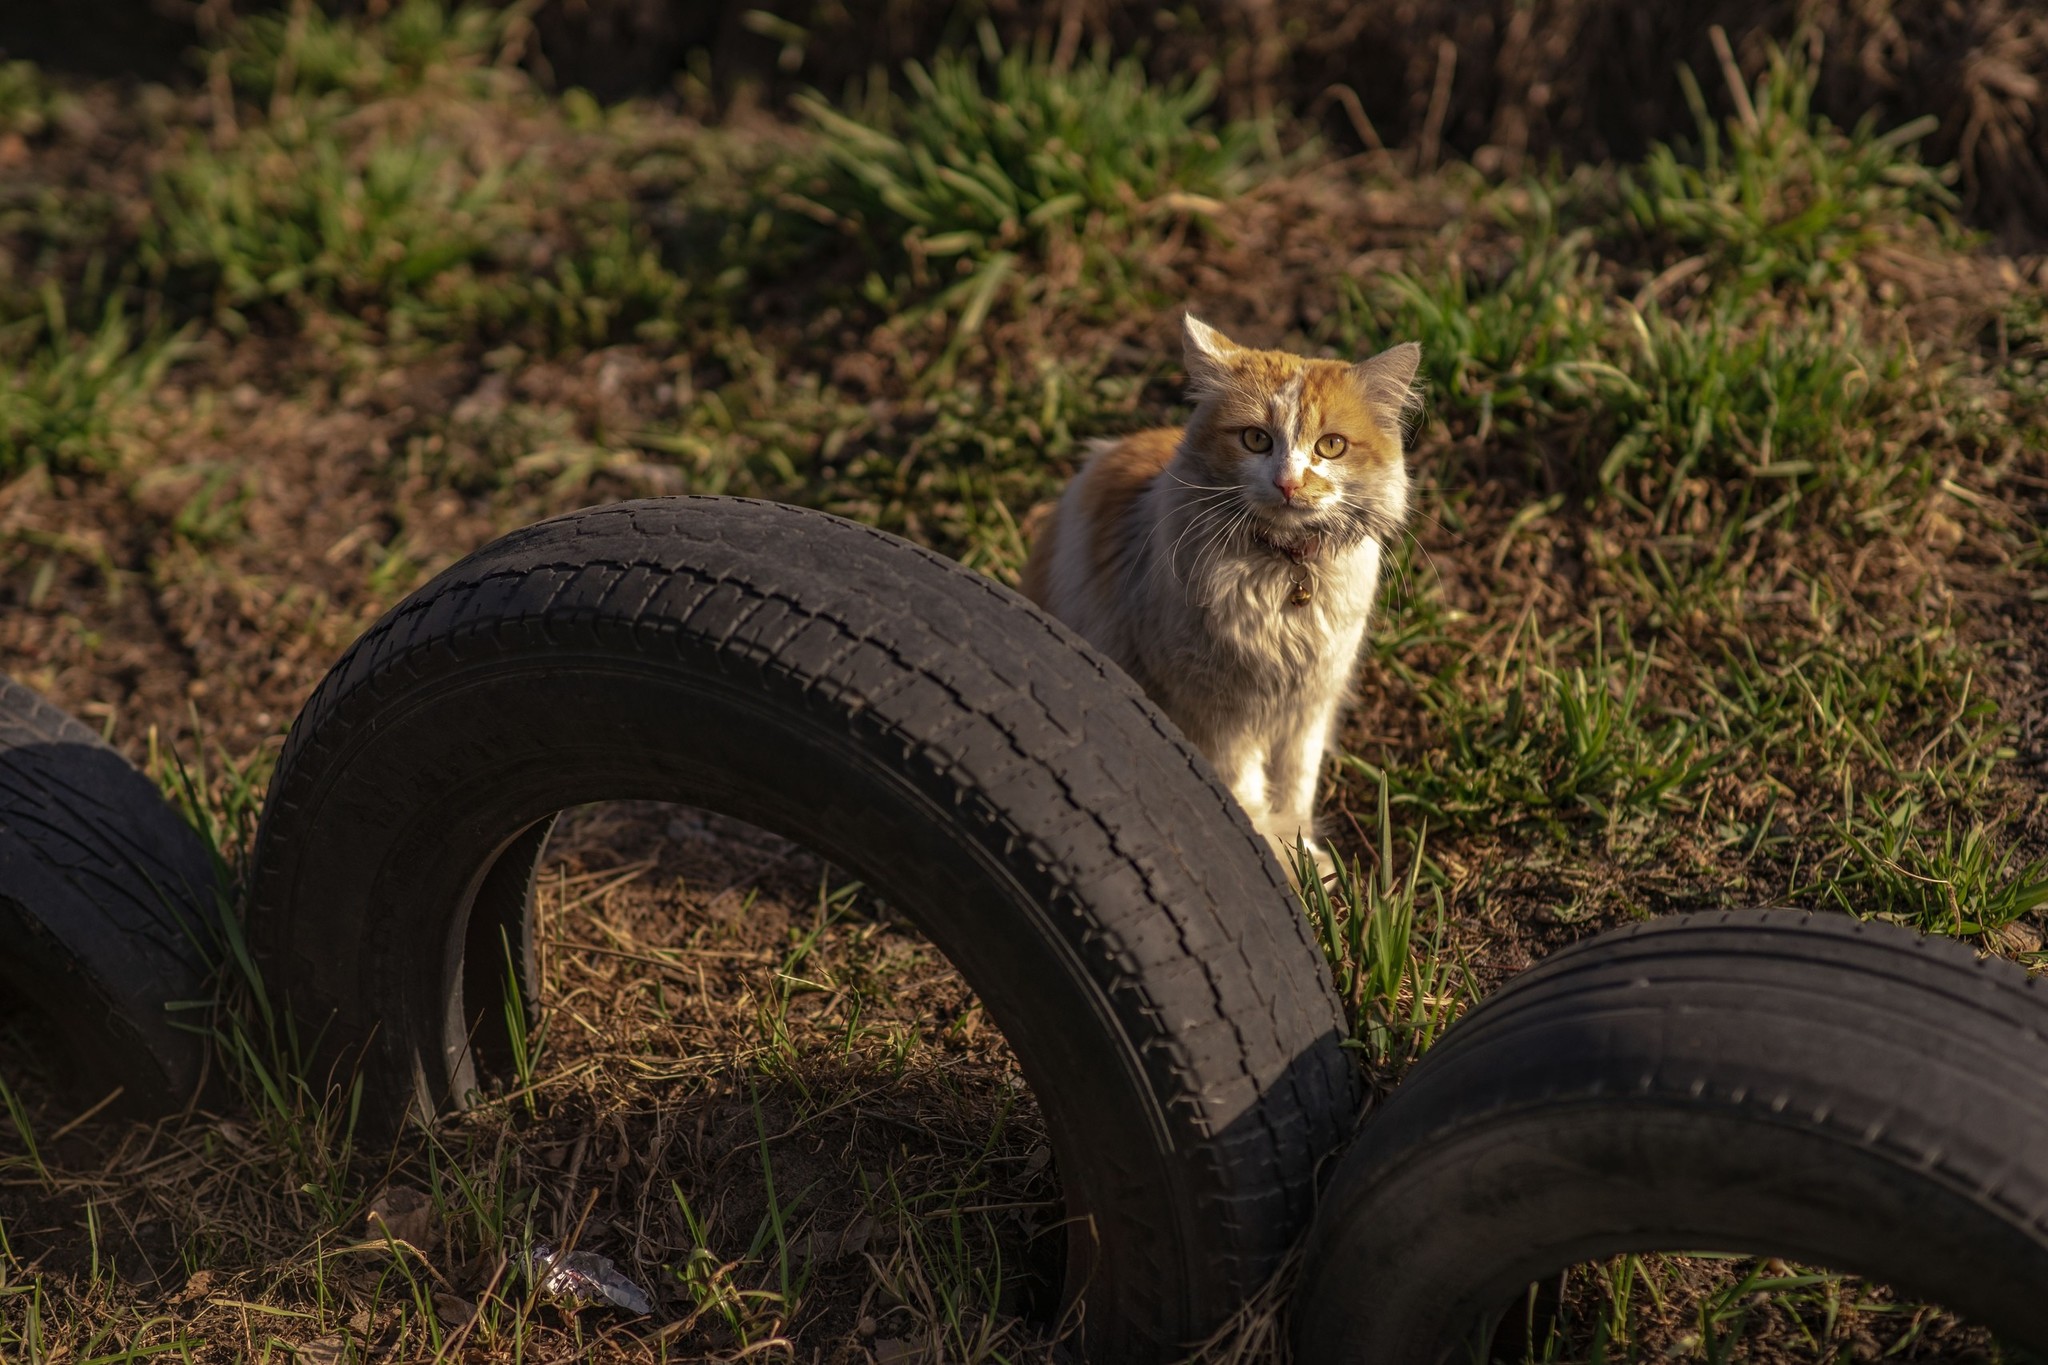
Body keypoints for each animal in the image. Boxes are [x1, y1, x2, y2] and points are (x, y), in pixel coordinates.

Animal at [1024, 317, 1425, 875]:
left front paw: (1304, 857)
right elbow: (1243, 792)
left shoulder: (1307, 709)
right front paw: (1278, 862)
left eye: (1330, 447)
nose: (1288, 483)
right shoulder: (1219, 713)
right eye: (1256, 440)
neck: (1284, 575)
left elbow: (1296, 791)